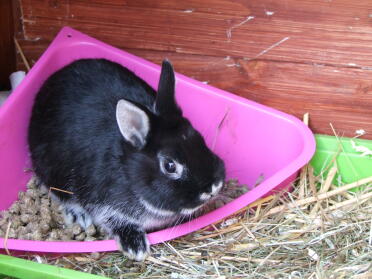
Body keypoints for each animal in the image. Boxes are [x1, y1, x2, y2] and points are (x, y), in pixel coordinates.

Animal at [28, 58, 224, 262]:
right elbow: (113, 219)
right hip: (50, 168)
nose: (213, 187)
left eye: (199, 139)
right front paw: (136, 248)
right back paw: (78, 215)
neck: (128, 170)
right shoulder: (101, 200)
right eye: (169, 165)